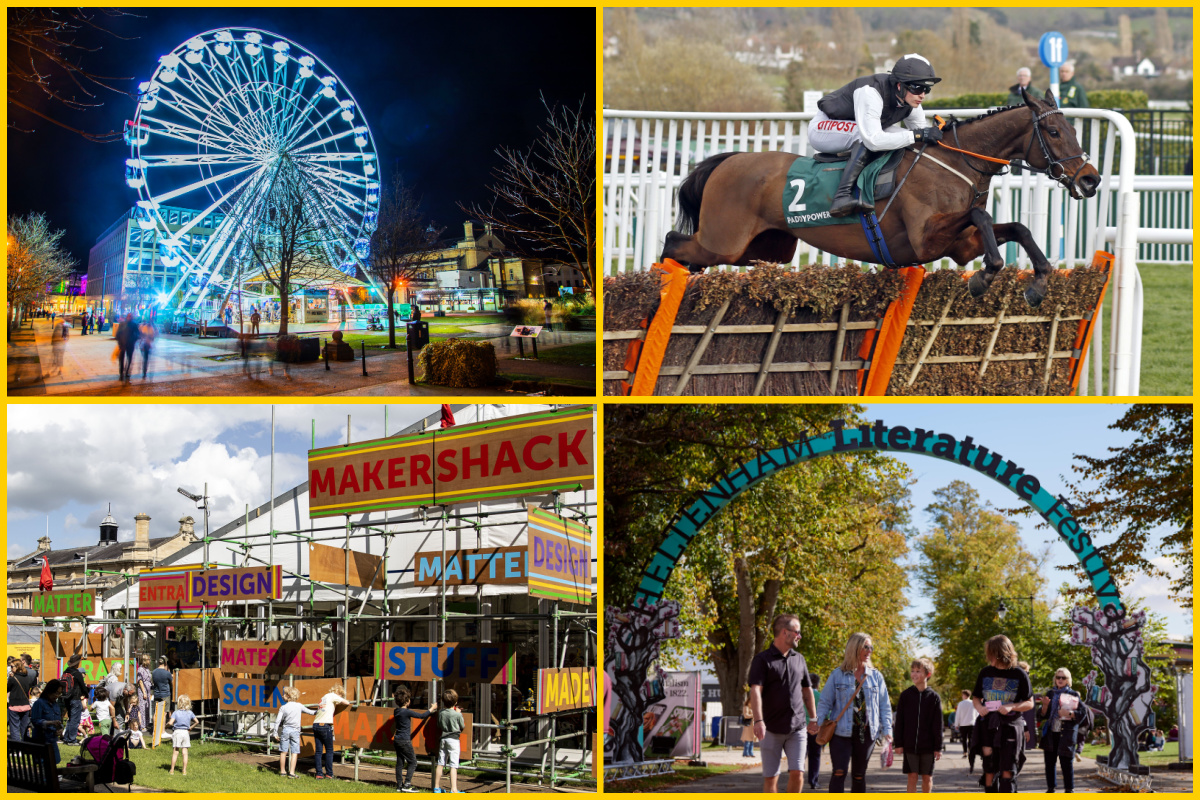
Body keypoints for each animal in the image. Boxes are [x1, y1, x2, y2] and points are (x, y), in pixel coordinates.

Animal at [662, 89, 1099, 309]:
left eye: (1073, 130)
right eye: (1055, 133)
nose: (1091, 179)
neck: (957, 161)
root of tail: (728, 160)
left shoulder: (961, 246)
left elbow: (1017, 227)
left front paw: (1038, 284)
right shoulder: (926, 240)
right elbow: (982, 216)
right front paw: (984, 278)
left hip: (764, 250)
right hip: (724, 242)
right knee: (673, 242)